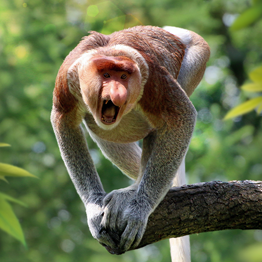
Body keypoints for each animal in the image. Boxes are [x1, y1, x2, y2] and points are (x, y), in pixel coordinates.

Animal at [51, 25, 210, 262]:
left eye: (124, 76)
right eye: (106, 75)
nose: (118, 93)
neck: (107, 51)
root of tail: (172, 32)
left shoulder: (153, 78)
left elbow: (181, 116)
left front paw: (138, 210)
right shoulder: (66, 80)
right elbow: (64, 121)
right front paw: (94, 210)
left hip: (197, 52)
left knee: (158, 127)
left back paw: (134, 191)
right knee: (100, 130)